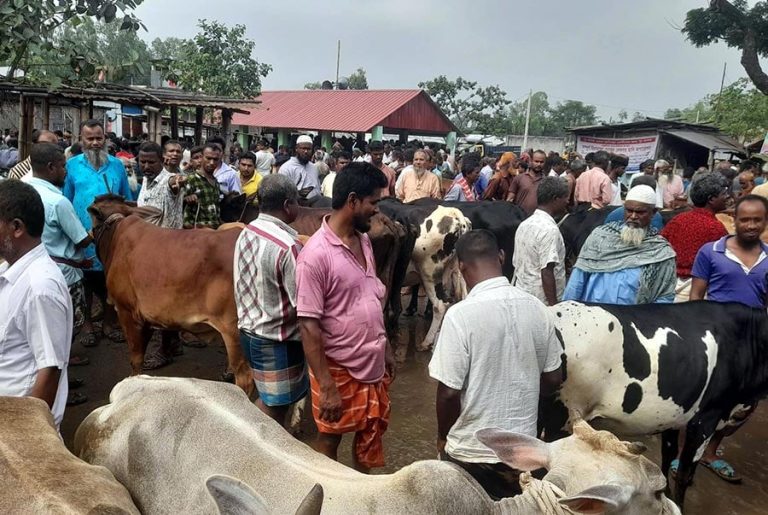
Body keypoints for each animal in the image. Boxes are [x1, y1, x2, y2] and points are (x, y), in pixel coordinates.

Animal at [89, 196, 252, 394]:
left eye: (93, 220)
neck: (116, 232)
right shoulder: (146, 319)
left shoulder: (126, 311)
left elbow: (135, 360)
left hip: (235, 331)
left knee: (246, 379)